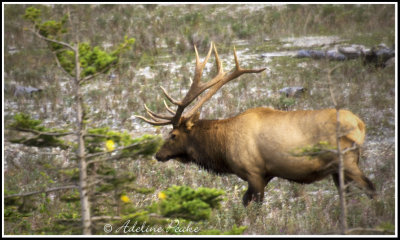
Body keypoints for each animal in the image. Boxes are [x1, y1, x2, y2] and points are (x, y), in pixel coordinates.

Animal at [137, 42, 376, 206]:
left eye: (173, 135)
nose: (158, 154)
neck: (222, 149)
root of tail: (360, 124)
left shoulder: (253, 171)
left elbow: (255, 205)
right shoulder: (267, 173)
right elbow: (245, 201)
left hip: (347, 160)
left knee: (371, 188)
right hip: (339, 169)